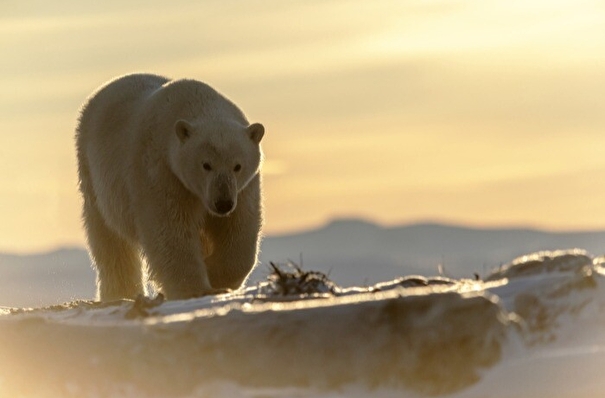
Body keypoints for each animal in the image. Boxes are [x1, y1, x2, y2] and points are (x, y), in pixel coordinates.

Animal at [75, 73, 264, 300]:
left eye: (237, 166)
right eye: (206, 164)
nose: (223, 203)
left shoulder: (243, 189)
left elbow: (240, 226)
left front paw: (216, 275)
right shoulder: (160, 171)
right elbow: (169, 229)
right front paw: (194, 288)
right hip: (93, 175)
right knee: (110, 240)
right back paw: (120, 293)